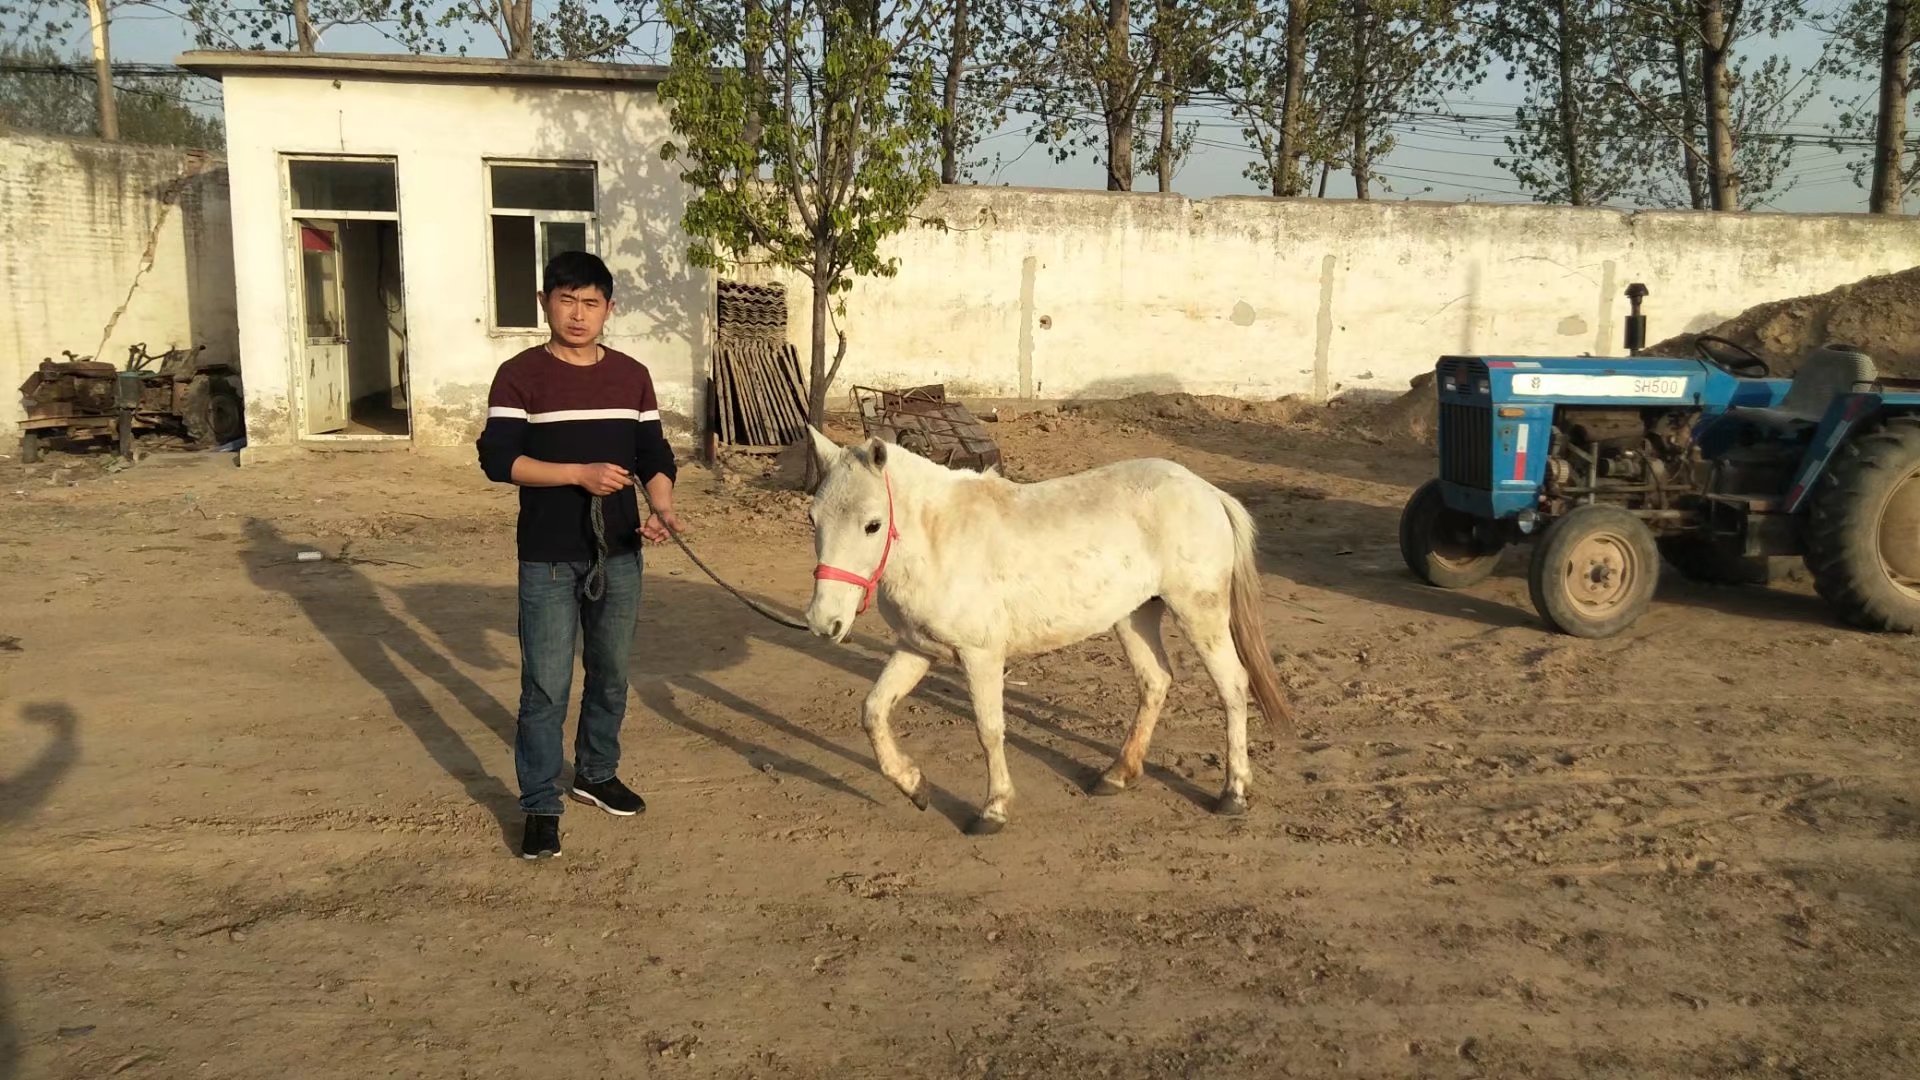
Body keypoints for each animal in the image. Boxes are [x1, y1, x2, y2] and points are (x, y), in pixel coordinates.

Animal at [794, 426, 1290, 834]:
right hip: (1135, 615)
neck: (940, 540)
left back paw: (1233, 793)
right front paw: (916, 787)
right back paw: (1117, 775)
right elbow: (873, 711)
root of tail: (1207, 490)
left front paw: (993, 810)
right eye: (813, 519)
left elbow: (989, 729)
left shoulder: (981, 656)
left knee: (1232, 685)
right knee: (1156, 681)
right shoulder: (917, 648)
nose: (822, 622)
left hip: (1199, 612)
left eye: (872, 524)